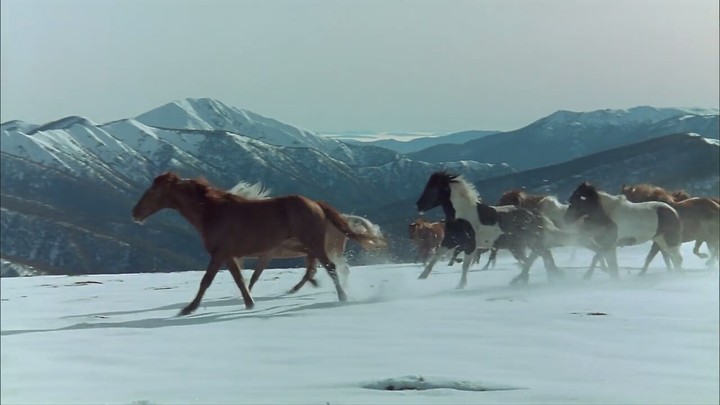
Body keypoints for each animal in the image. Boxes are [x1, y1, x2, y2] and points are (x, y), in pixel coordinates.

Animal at [228, 181, 386, 293]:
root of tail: (345, 218)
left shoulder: (267, 254)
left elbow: (254, 276)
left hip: (331, 251)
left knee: (340, 269)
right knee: (322, 270)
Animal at [416, 171, 566, 288]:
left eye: (433, 188)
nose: (419, 205)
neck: (462, 217)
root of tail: (535, 215)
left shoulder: (470, 245)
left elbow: (465, 265)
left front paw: (461, 285)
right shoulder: (450, 241)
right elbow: (436, 257)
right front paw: (422, 276)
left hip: (529, 242)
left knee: (541, 256)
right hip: (518, 246)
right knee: (536, 257)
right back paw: (530, 279)